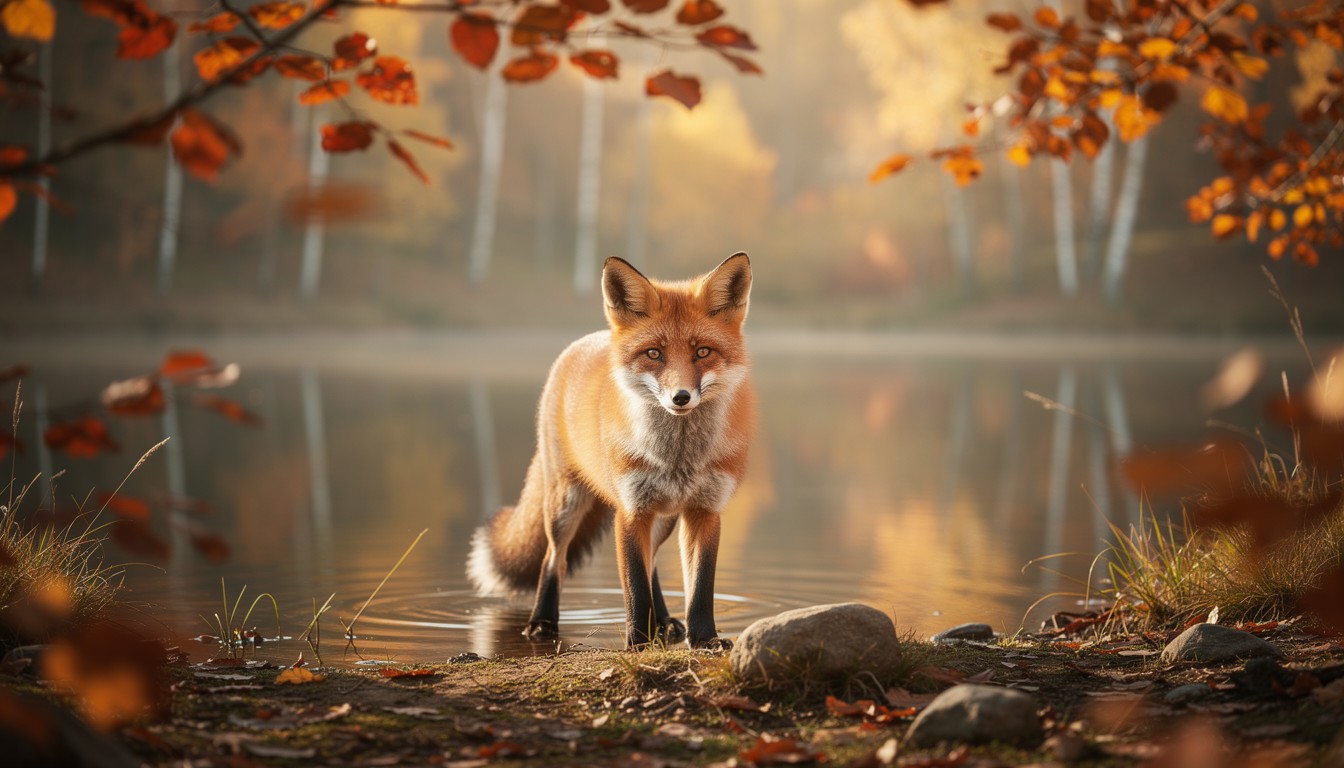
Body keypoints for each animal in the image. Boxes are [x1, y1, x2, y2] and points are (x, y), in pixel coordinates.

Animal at [467, 253, 755, 649]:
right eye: (654, 354)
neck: (677, 458)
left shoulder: (705, 511)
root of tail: (588, 339)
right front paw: (637, 642)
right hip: (565, 504)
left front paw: (704, 639)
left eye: (702, 352)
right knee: (552, 559)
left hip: (663, 518)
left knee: (653, 565)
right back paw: (542, 621)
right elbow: (634, 587)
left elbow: (699, 589)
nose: (680, 397)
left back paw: (664, 621)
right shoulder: (630, 512)